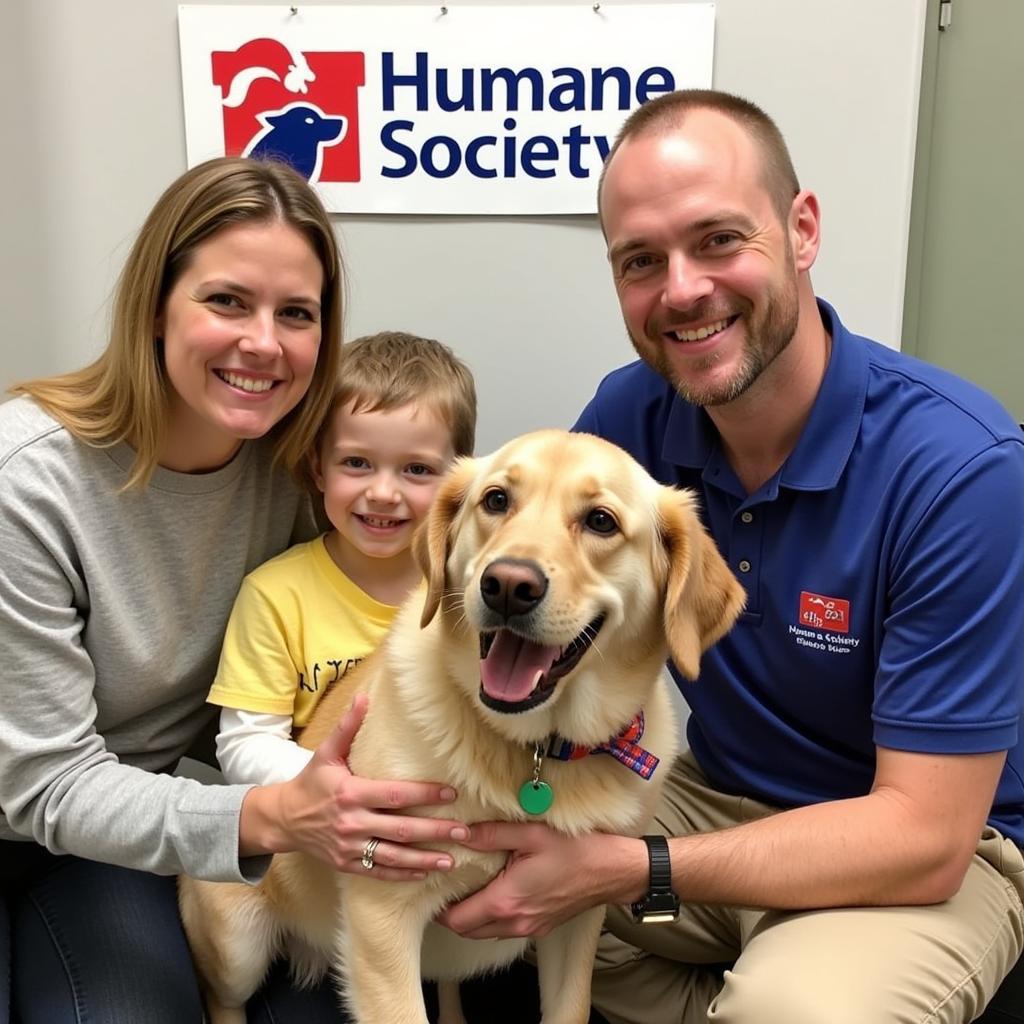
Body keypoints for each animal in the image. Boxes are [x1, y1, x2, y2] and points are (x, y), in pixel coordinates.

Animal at [180, 430, 745, 1024]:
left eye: (601, 521)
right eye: (496, 500)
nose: (508, 585)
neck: (536, 751)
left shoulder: (575, 915)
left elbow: (570, 1007)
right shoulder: (382, 919)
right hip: (238, 944)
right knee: (224, 999)